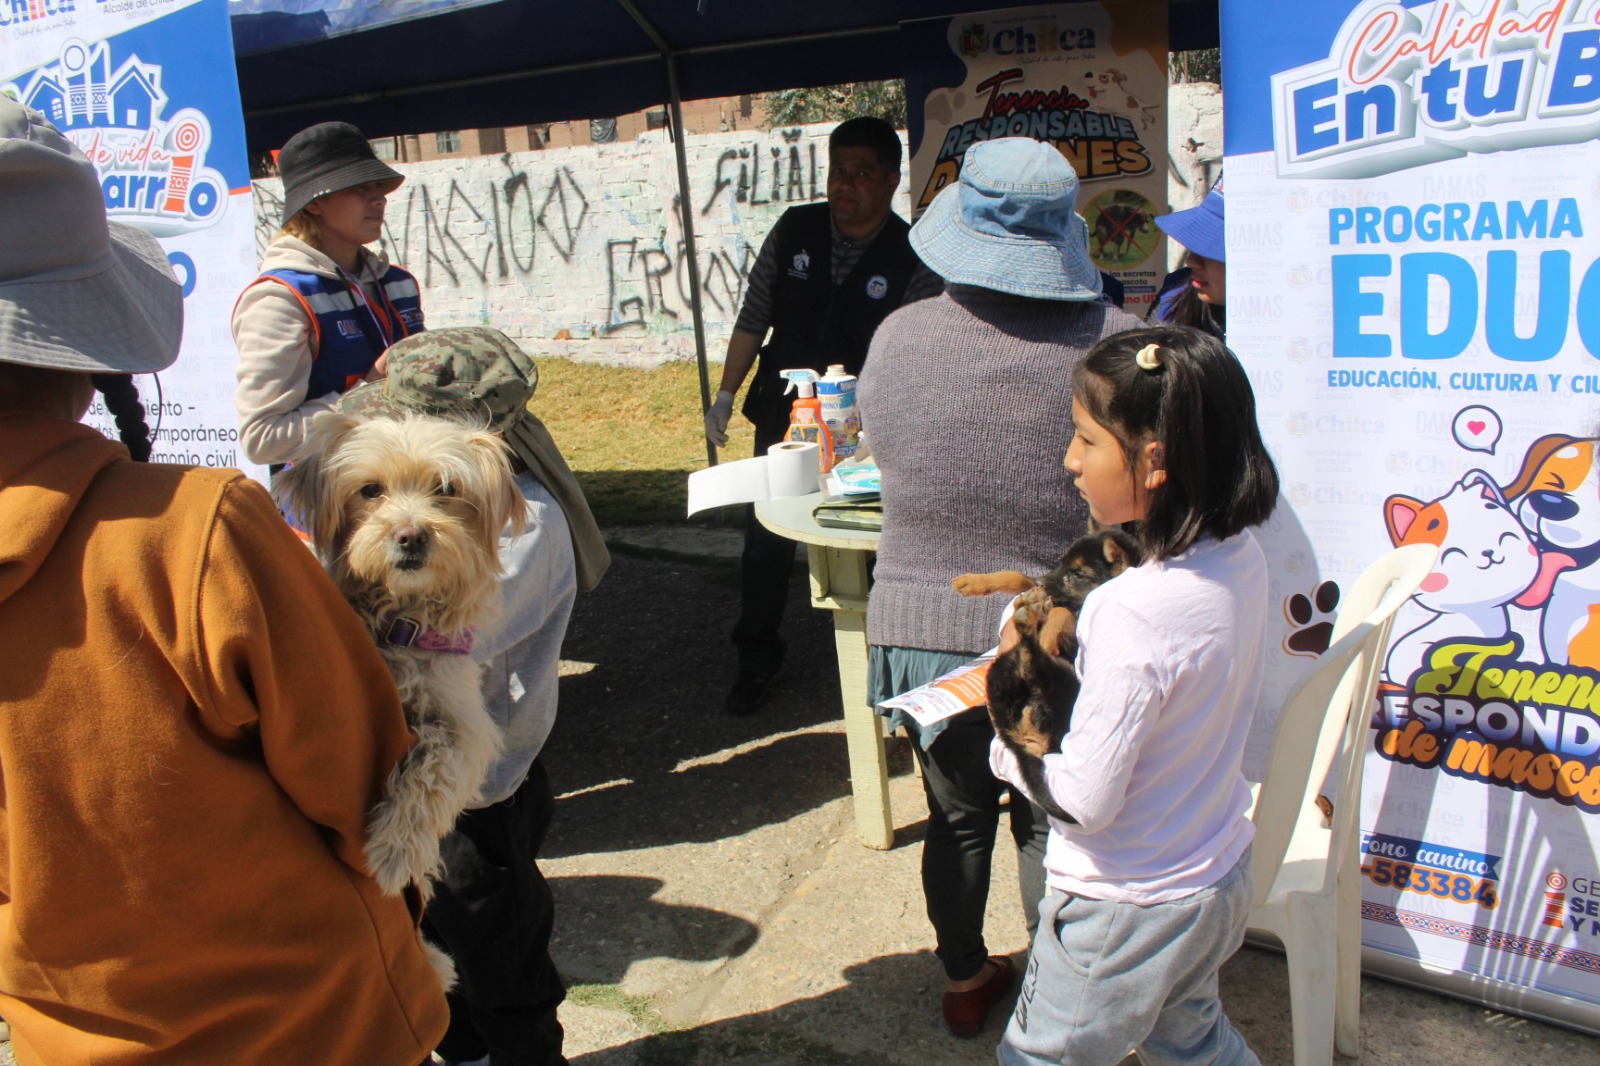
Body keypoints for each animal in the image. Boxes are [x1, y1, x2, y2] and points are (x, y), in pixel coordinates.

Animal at [947, 528, 1139, 816]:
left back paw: (1034, 639)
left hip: (1061, 681)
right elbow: (1019, 576)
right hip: (1000, 674)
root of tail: (1023, 739)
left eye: (1077, 574)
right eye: (1061, 564)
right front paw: (975, 582)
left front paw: (1047, 633)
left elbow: (1061, 612)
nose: (1040, 583)